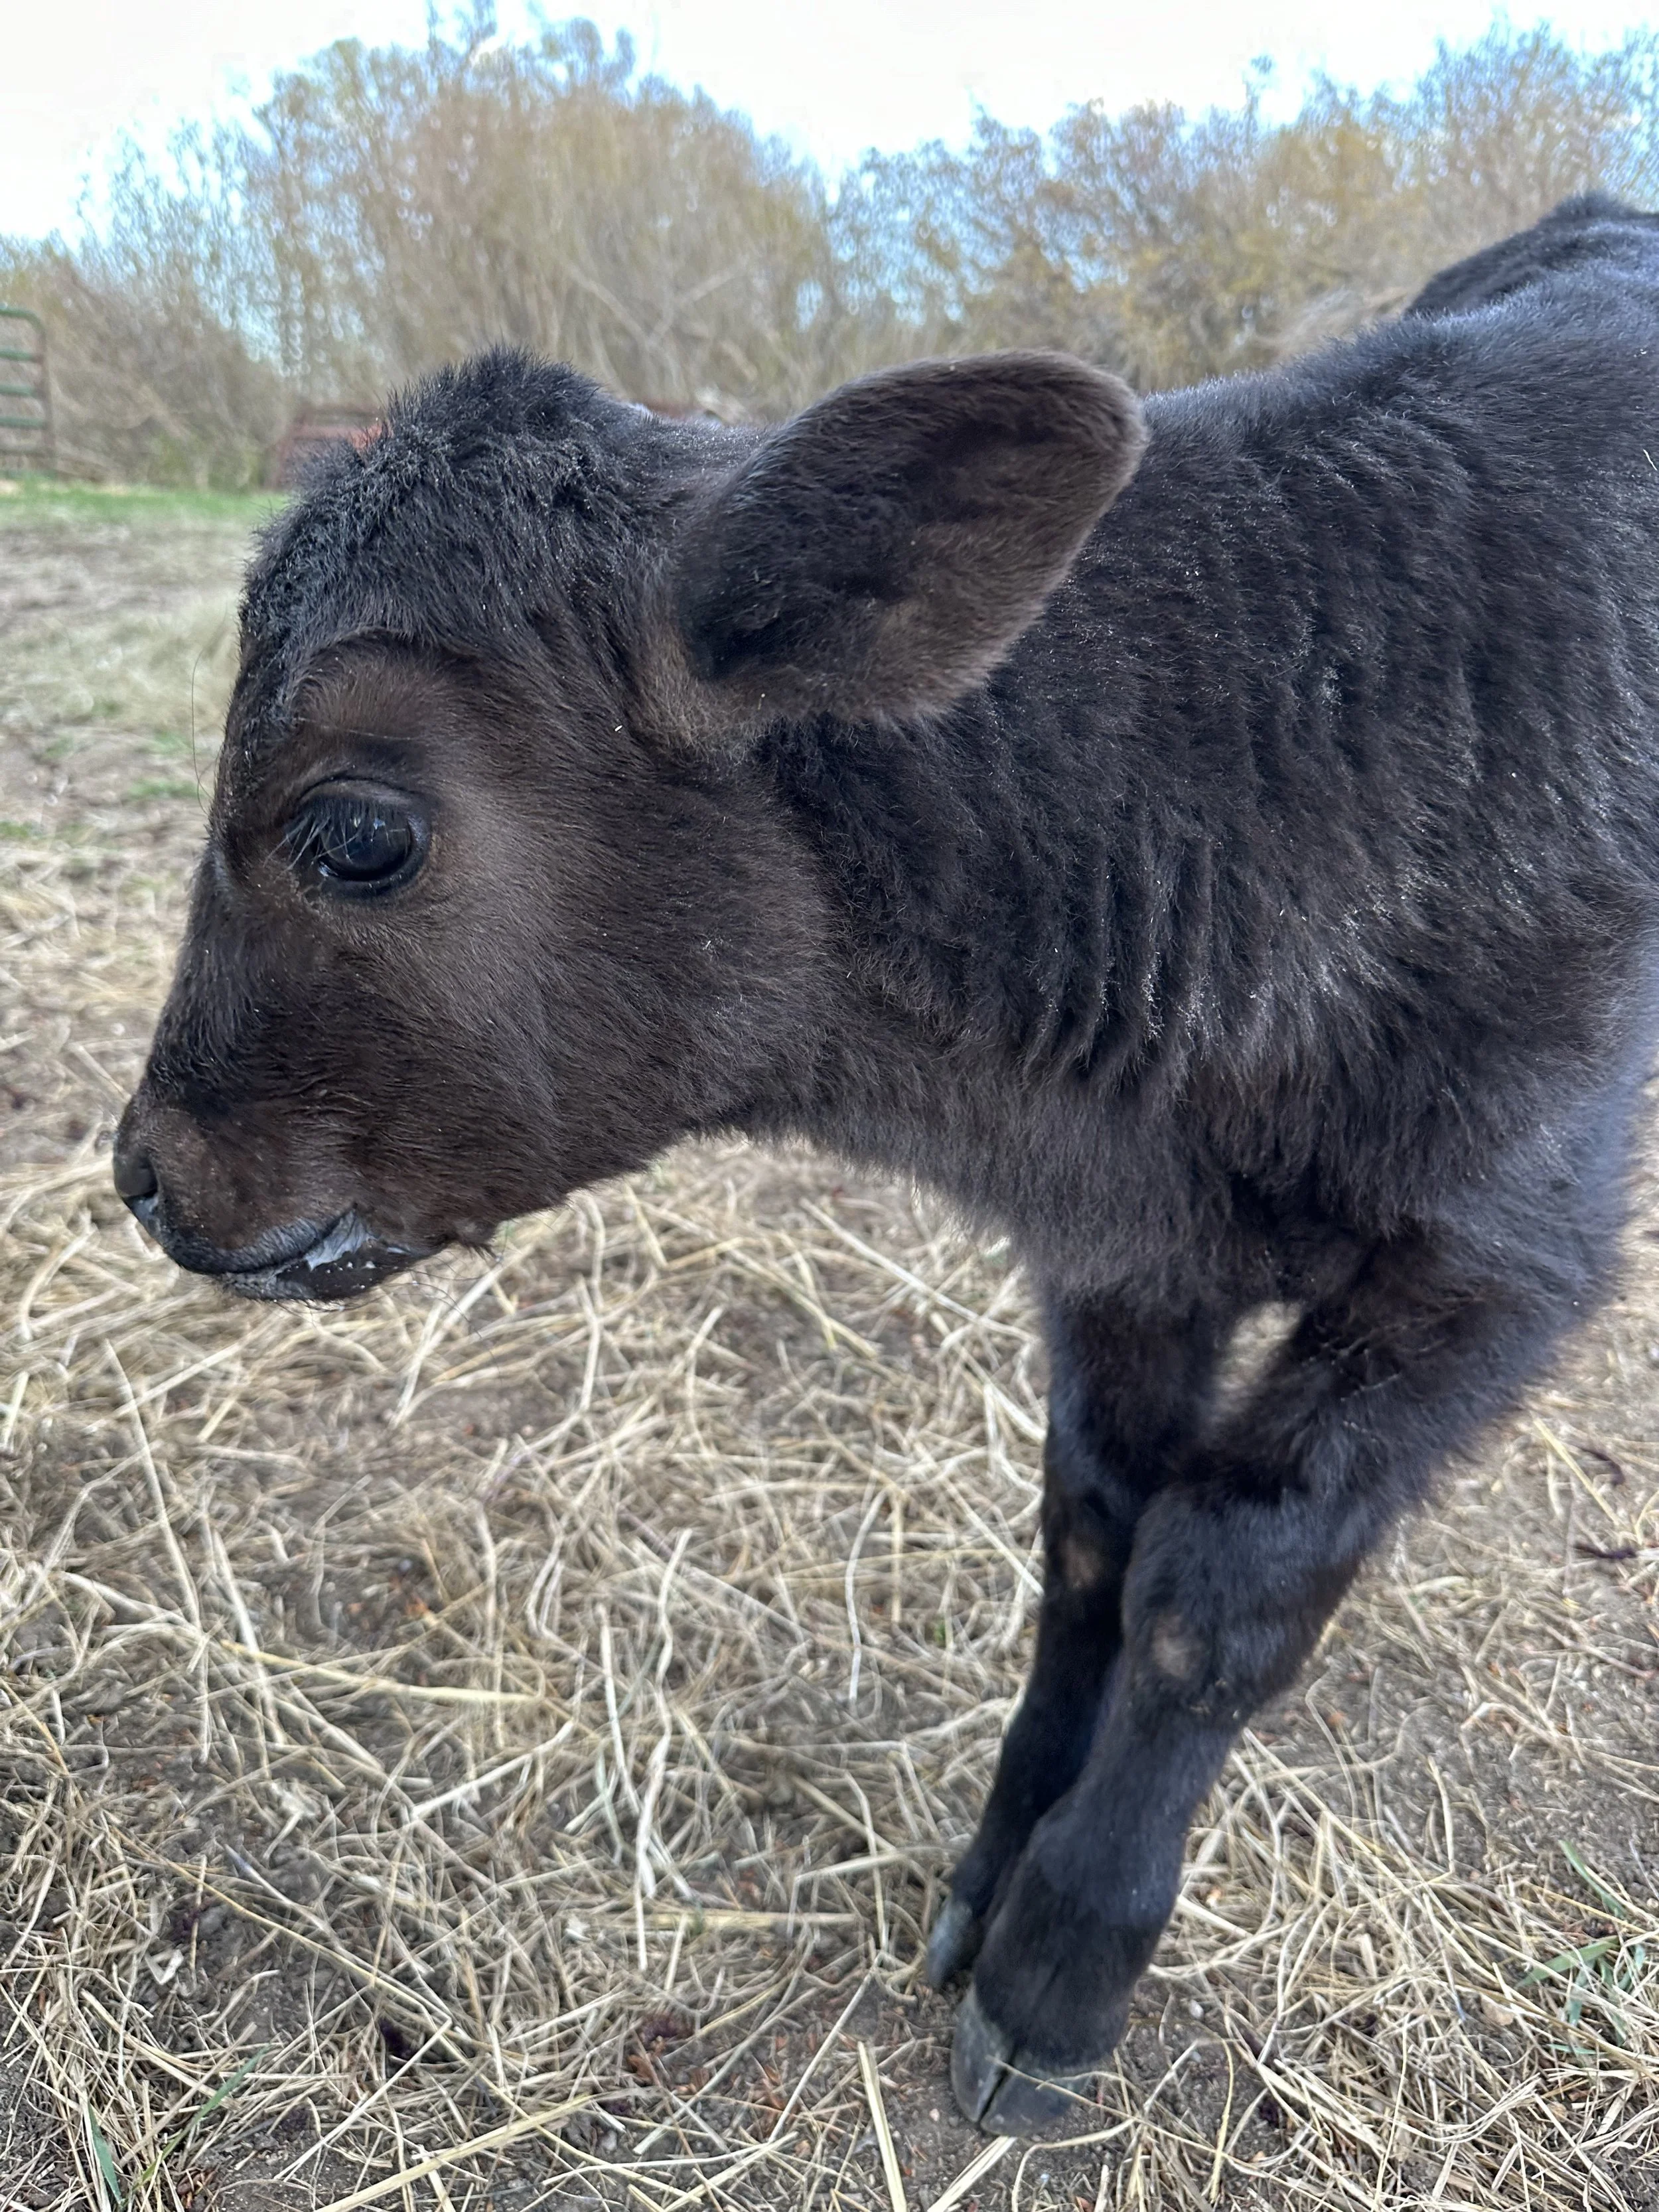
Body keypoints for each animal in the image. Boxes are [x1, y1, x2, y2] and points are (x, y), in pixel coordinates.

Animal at [114, 200, 1659, 2134]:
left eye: (360, 832)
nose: (146, 1168)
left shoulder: (1490, 1271)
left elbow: (1216, 1595)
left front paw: (1062, 1966)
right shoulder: (1124, 1255)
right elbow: (1092, 1538)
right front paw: (993, 1872)